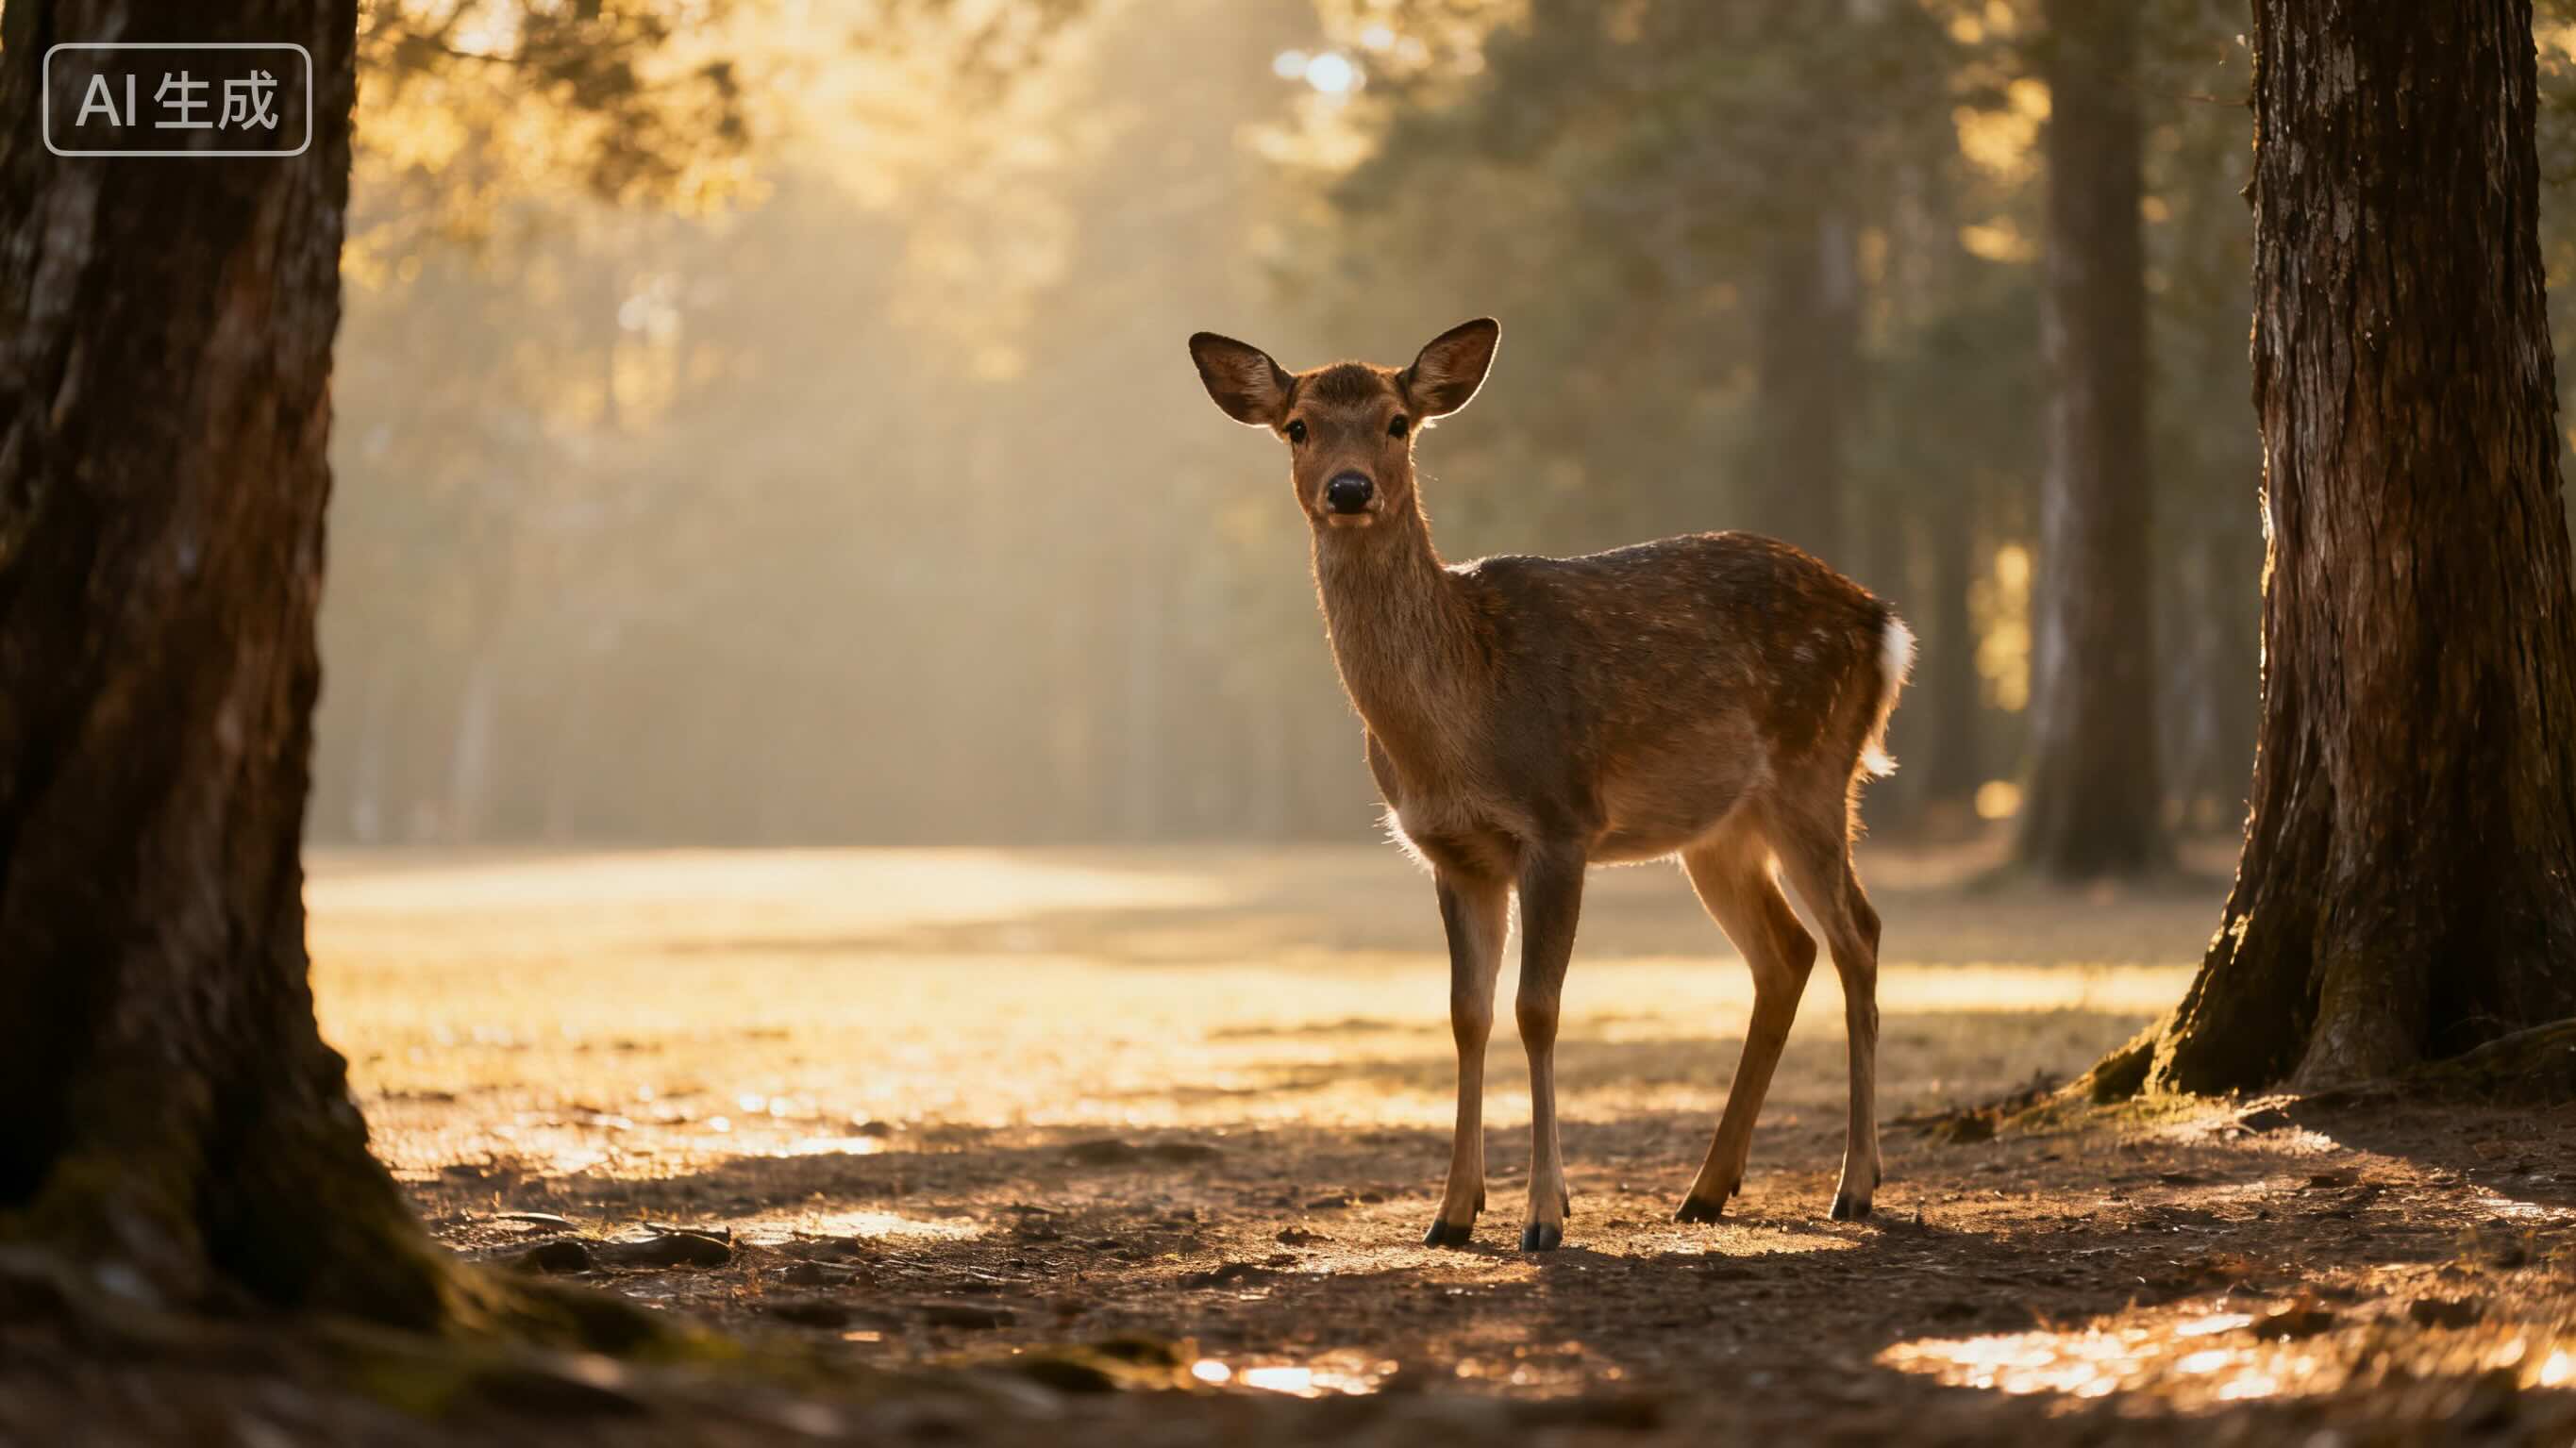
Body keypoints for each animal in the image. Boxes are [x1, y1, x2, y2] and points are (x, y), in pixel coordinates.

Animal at [1186, 318, 1913, 1252]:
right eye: (1298, 426)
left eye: (1396, 422)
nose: (1349, 489)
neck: (1462, 725)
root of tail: (1882, 623)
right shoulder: (1452, 851)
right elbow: (1466, 1011)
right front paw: (1453, 1213)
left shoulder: (1561, 821)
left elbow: (1538, 1007)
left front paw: (1544, 1214)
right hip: (1719, 829)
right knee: (1787, 951)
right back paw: (1707, 1189)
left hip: (1813, 770)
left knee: (1859, 932)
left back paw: (1853, 1186)